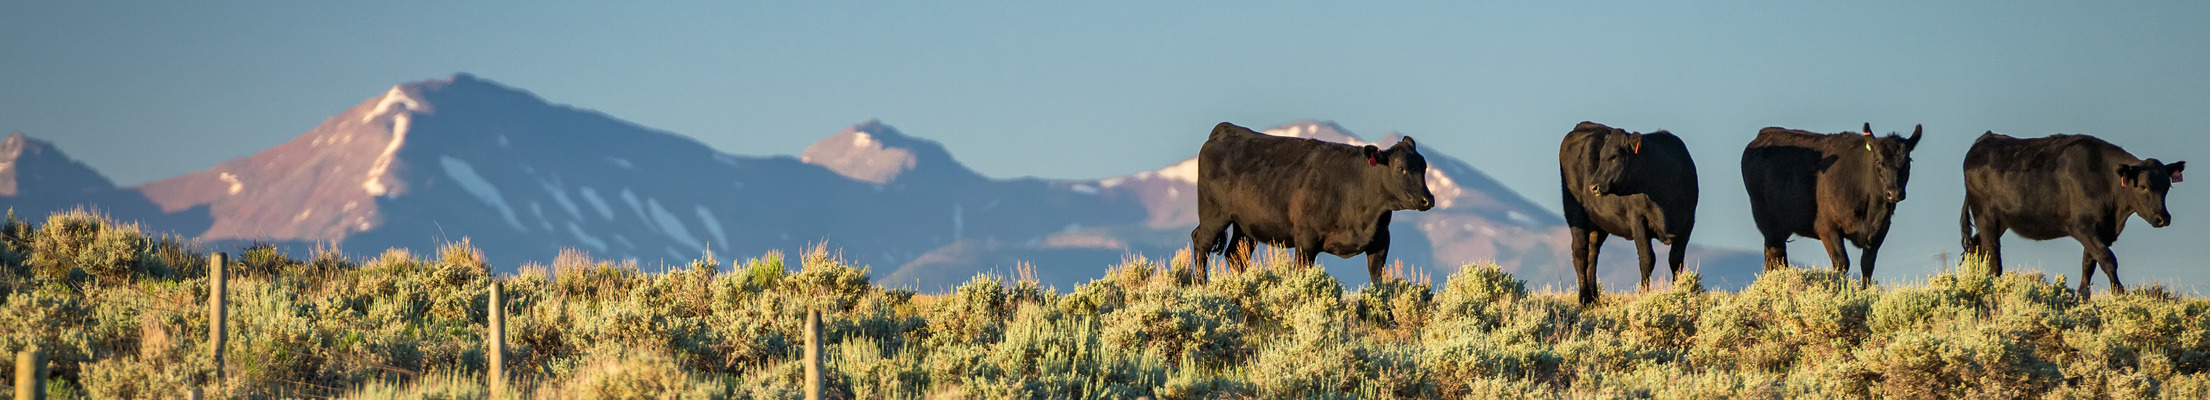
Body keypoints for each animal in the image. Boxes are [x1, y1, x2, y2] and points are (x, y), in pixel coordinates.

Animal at [1193, 122, 1432, 281]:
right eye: (1400, 167)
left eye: (1424, 166)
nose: (1427, 199)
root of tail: (1225, 130)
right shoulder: (1306, 240)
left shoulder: (1381, 240)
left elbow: (1378, 281)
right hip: (1214, 214)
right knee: (1201, 242)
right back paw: (1201, 285)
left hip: (1245, 226)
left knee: (1235, 255)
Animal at [1564, 120, 1697, 302]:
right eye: (1601, 156)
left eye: (1614, 156)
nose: (1593, 186)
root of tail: (1582, 125)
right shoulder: (1638, 220)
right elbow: (1647, 258)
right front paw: (1643, 294)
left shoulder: (1687, 224)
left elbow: (1676, 261)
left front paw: (1678, 292)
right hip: (1574, 211)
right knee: (1580, 251)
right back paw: (1584, 298)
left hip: (1598, 223)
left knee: (1592, 253)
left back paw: (1594, 299)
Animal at [1741, 123, 1918, 282]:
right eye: (1879, 161)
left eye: (1908, 161)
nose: (1894, 193)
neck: (1871, 213)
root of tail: (1764, 133)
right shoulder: (1827, 228)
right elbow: (1841, 263)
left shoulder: (1880, 231)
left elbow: (1867, 267)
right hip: (1768, 224)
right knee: (1777, 258)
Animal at [1962, 132, 2183, 298]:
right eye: (2143, 186)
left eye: (2168, 186)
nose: (2163, 218)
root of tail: (1984, 139)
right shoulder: (2082, 226)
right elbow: (2107, 258)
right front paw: (2119, 292)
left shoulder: (2102, 230)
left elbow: (2089, 263)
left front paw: (2083, 296)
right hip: (1985, 215)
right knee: (1992, 255)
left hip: (2000, 222)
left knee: (1976, 248)